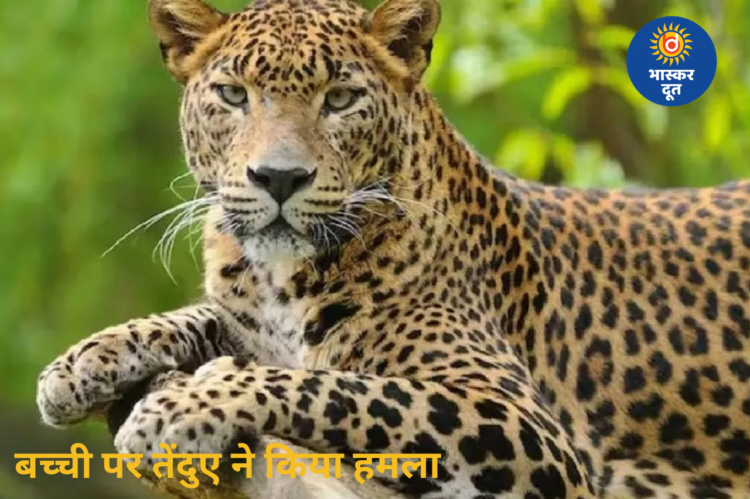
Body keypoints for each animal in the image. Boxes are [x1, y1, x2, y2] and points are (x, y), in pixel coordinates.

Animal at [36, 0, 750, 497]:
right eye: (234, 95)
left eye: (341, 98)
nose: (278, 178)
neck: (281, 280)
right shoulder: (244, 313)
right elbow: (202, 317)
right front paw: (81, 363)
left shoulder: (524, 425)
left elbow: (338, 386)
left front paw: (185, 404)